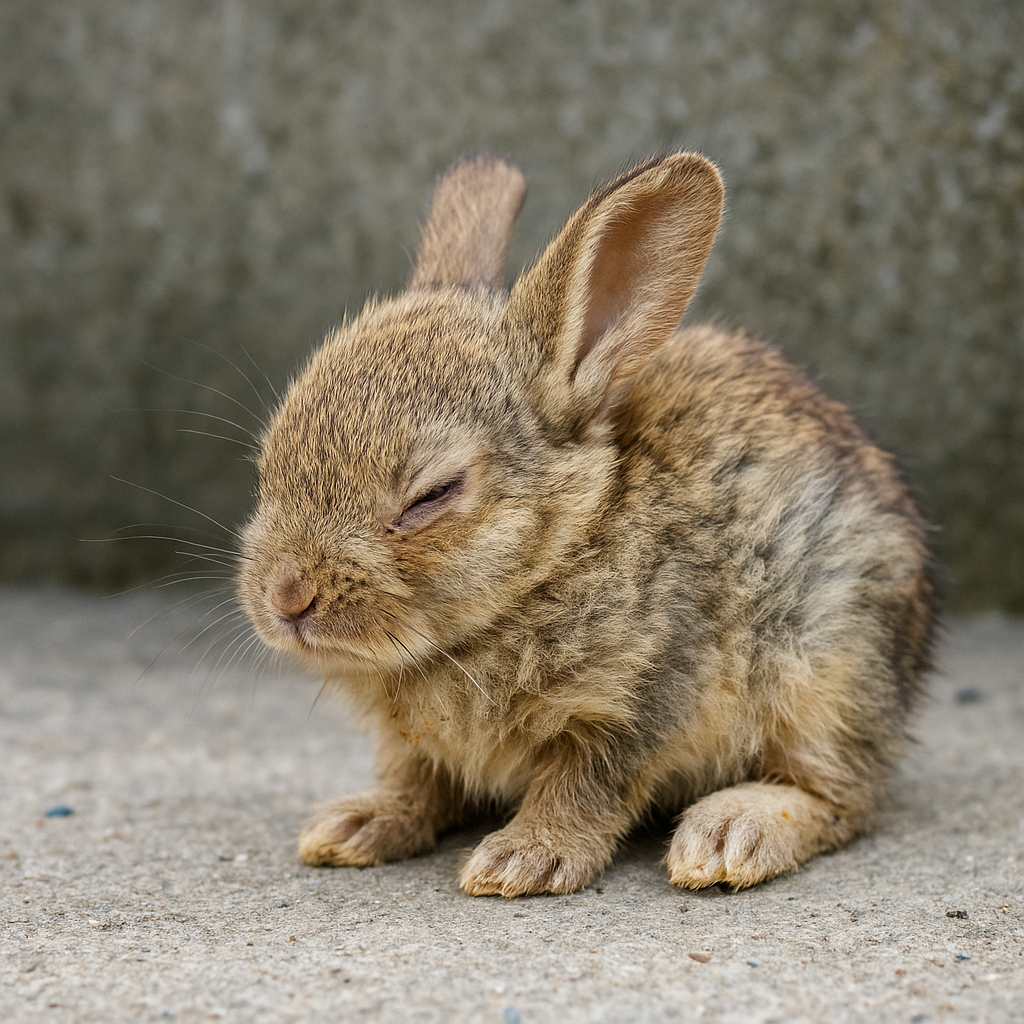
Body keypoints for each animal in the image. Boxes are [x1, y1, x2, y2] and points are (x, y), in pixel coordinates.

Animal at [237, 151, 936, 897]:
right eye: (267, 465)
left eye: (432, 494)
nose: (285, 598)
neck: (559, 554)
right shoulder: (416, 746)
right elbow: (416, 781)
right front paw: (358, 826)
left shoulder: (639, 700)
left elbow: (584, 786)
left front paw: (522, 860)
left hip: (832, 665)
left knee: (840, 797)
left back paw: (728, 836)